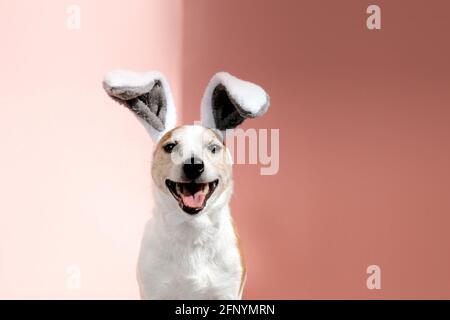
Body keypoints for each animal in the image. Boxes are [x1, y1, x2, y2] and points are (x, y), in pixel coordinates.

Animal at [103, 70, 268, 300]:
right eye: (170, 146)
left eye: (213, 148)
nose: (193, 166)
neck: (192, 231)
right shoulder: (154, 290)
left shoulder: (226, 291)